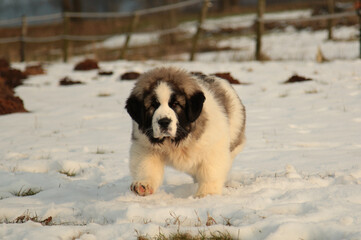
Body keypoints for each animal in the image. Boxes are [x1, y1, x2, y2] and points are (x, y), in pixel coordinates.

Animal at [125, 67, 246, 197]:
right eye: (153, 105)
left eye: (175, 104)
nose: (164, 122)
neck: (175, 141)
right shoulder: (144, 146)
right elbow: (146, 165)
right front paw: (143, 184)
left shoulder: (213, 146)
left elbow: (210, 172)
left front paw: (206, 194)